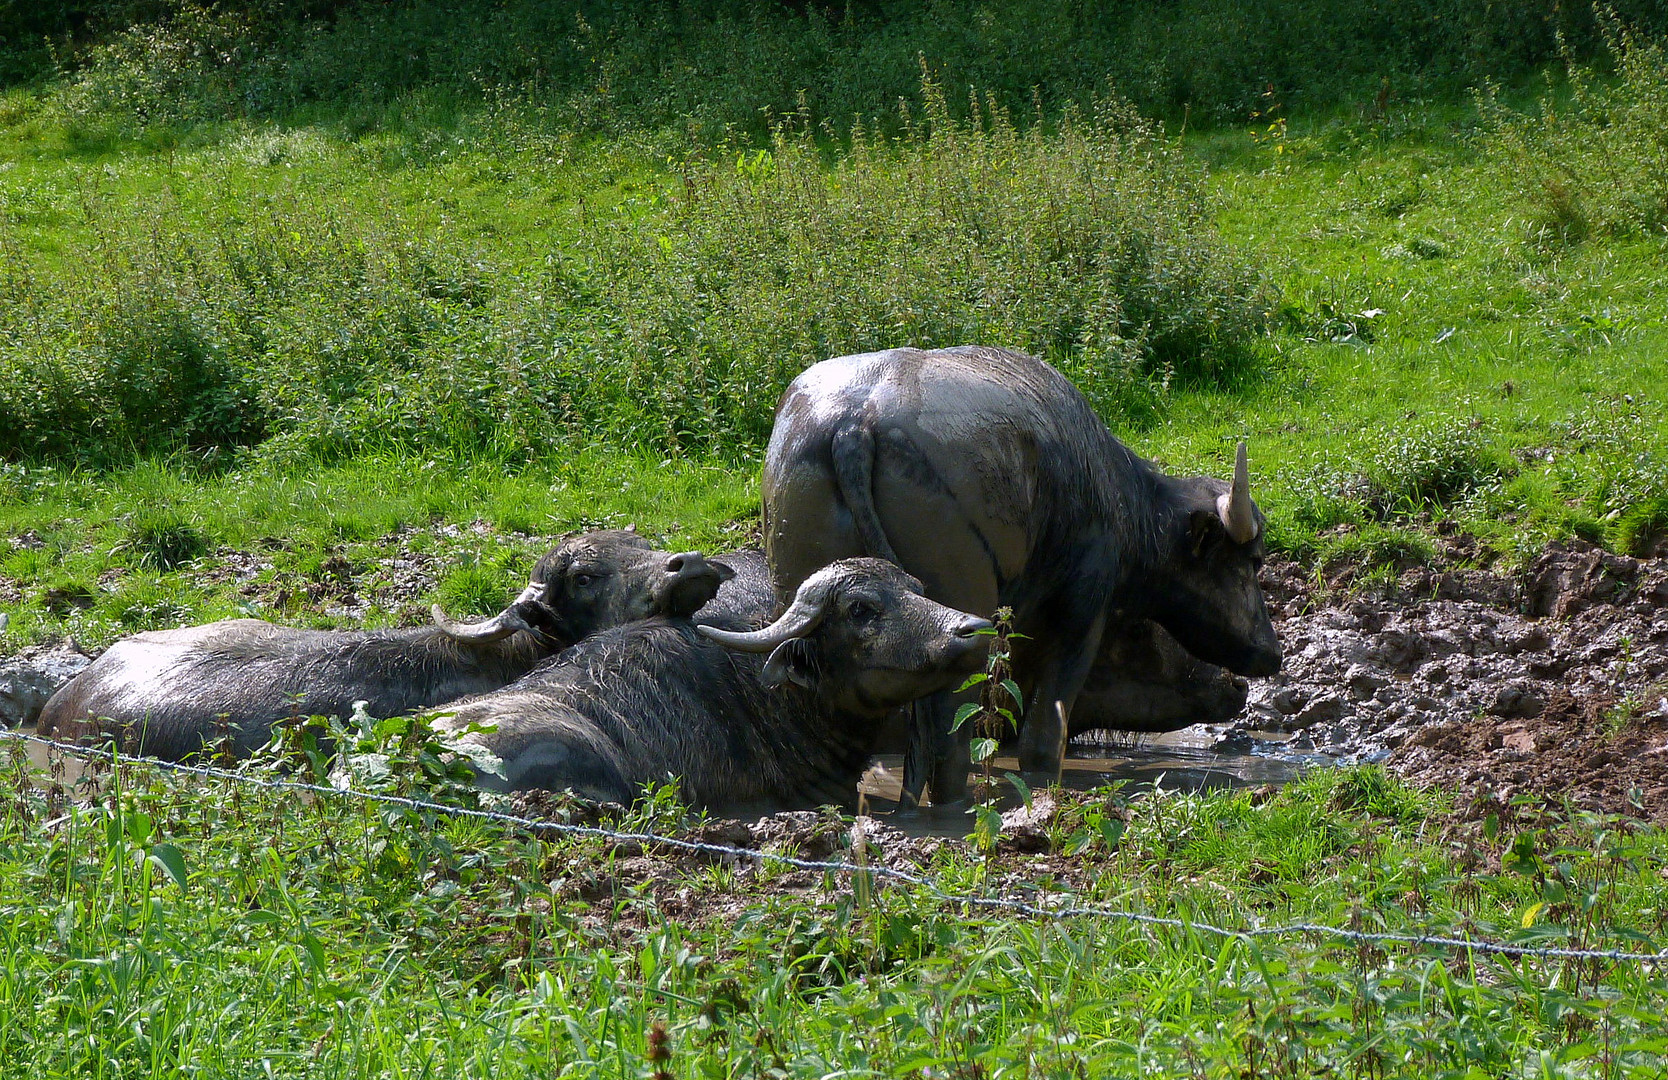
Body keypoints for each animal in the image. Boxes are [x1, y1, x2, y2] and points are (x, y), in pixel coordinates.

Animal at [763, 347, 1281, 801]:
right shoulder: (1082, 608)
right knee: (949, 747)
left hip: (808, 599)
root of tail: (853, 428)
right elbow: (1043, 734)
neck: (1115, 496)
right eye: (1253, 561)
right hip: (959, 633)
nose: (1270, 655)